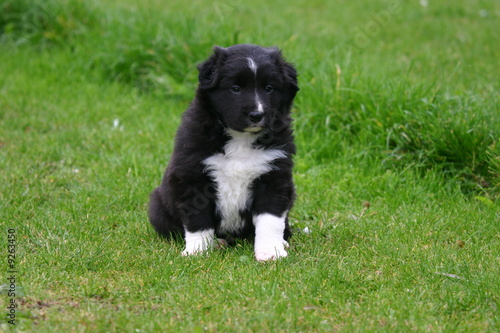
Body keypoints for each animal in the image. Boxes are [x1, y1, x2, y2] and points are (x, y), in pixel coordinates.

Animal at [146, 44, 298, 260]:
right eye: (235, 88)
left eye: (269, 88)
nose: (256, 115)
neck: (240, 138)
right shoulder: (192, 176)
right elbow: (198, 219)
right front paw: (197, 251)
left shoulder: (274, 176)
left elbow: (270, 220)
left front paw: (270, 252)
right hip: (158, 206)